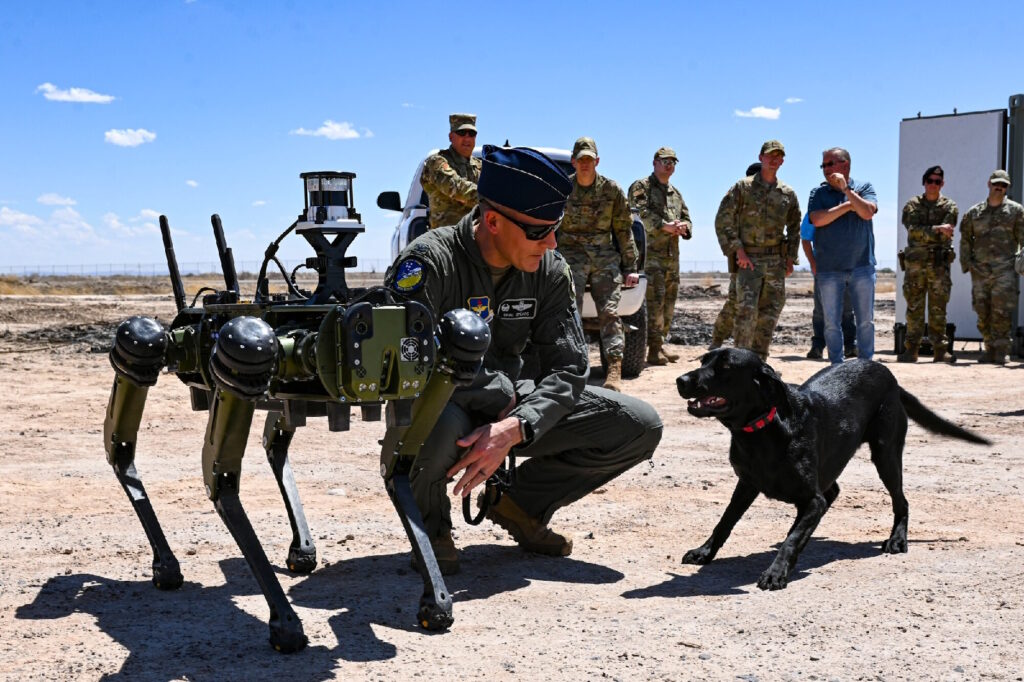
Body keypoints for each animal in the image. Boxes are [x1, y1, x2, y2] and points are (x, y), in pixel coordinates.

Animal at [103, 169, 487, 647]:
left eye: (415, 330)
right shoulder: (249, 355)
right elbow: (220, 480)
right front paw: (284, 620)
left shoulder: (441, 359)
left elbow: (396, 465)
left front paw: (436, 598)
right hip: (157, 350)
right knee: (122, 442)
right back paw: (166, 563)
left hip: (283, 396)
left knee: (275, 440)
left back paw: (300, 548)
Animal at [675, 348, 987, 585]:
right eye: (703, 360)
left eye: (725, 366)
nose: (680, 379)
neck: (763, 430)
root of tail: (889, 375)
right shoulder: (747, 484)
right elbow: (725, 522)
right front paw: (704, 552)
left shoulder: (811, 500)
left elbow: (792, 537)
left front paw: (776, 572)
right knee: (835, 491)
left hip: (885, 454)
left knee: (902, 501)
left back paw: (897, 540)